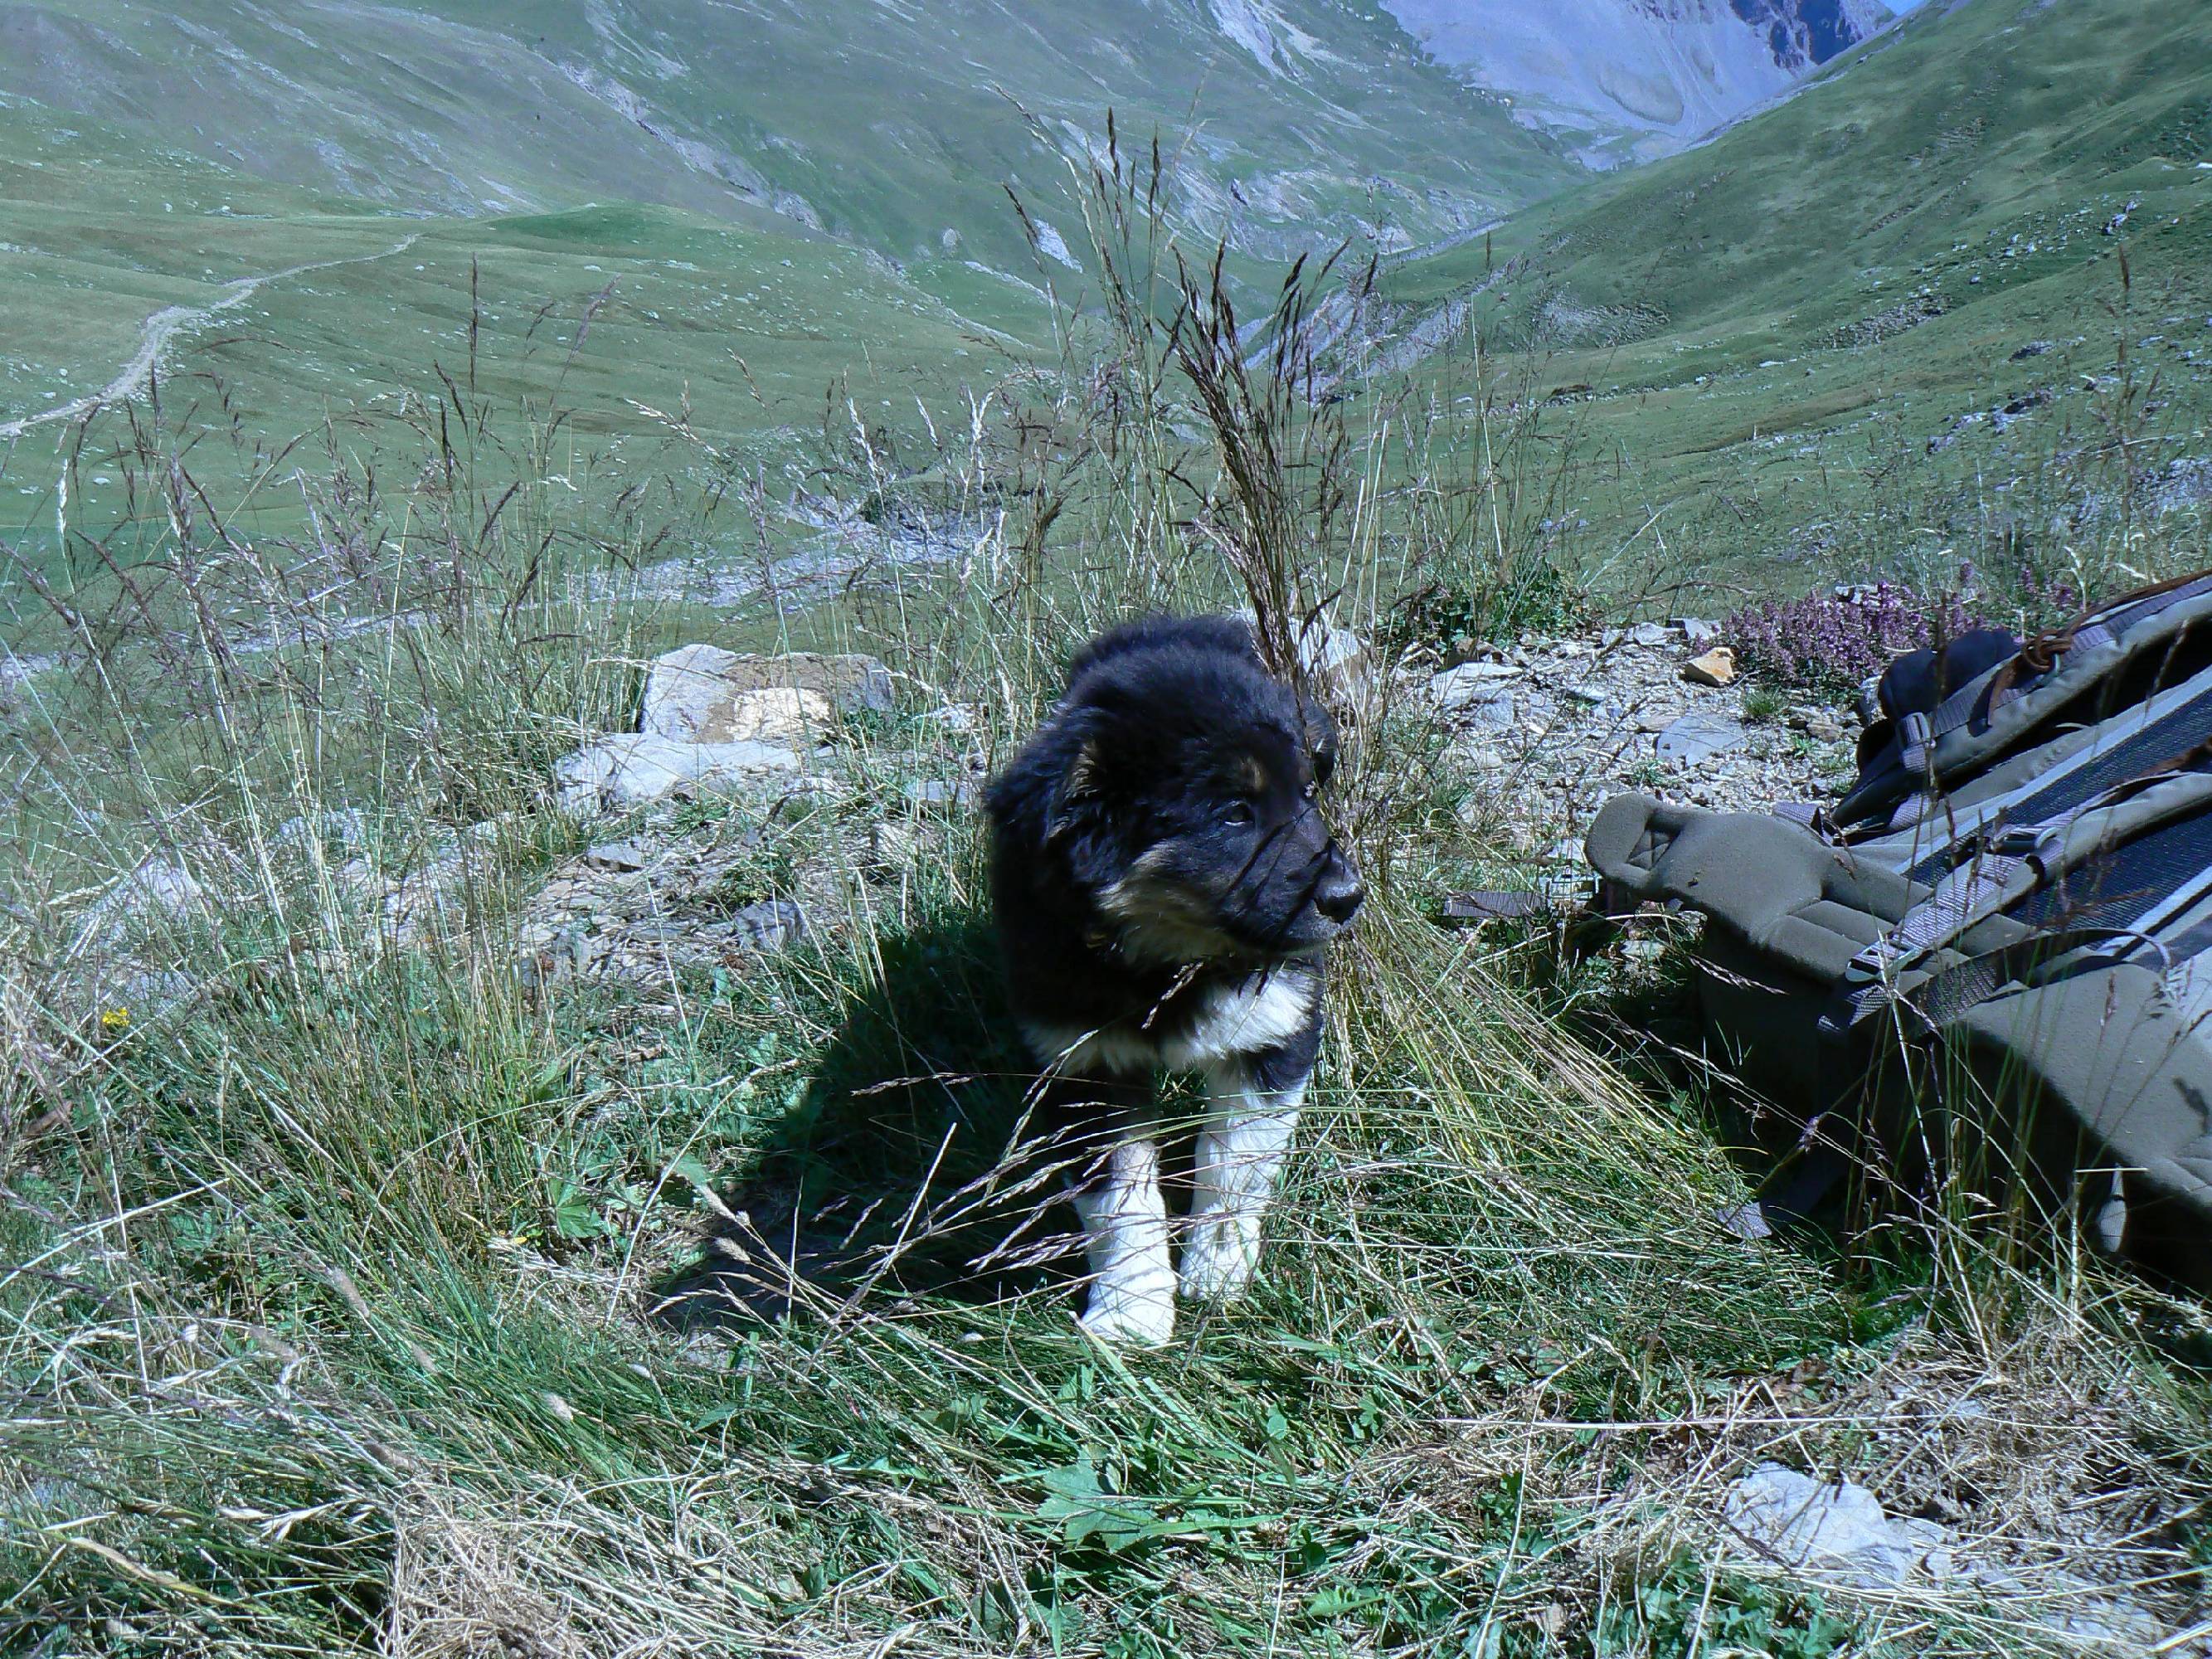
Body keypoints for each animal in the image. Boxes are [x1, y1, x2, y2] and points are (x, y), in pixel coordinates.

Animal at [990, 619, 1362, 1345]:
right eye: (1233, 814)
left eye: (1307, 796)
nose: (1348, 898)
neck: (1165, 961)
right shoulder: (1082, 1061)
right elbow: (1117, 1196)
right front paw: (1130, 1311)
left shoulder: (1269, 1032)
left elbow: (1234, 1166)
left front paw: (1216, 1273)